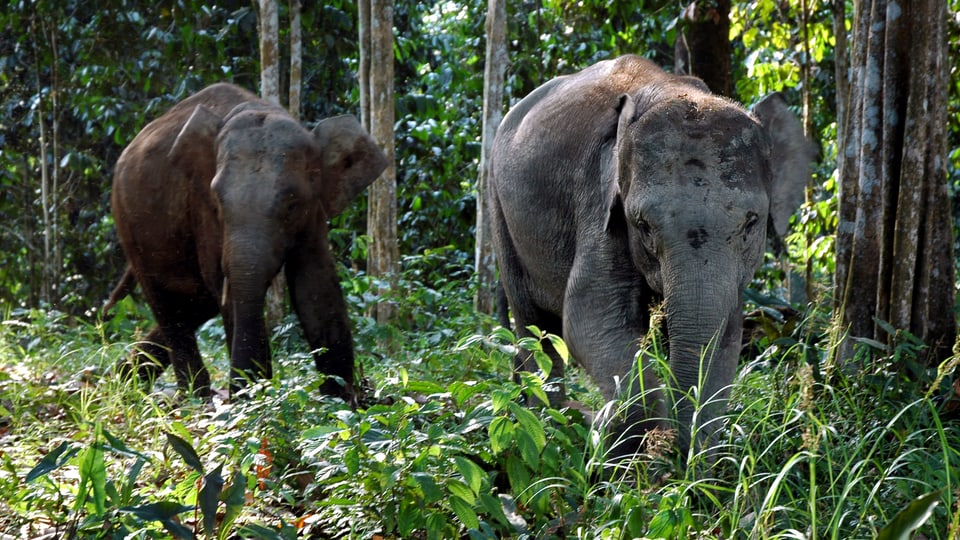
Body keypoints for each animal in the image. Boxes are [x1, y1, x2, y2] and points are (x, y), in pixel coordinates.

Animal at [109, 81, 386, 400]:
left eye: (292, 205)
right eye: (218, 201)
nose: (243, 388)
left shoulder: (313, 212)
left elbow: (315, 283)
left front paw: (339, 397)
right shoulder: (201, 207)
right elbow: (224, 284)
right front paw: (253, 398)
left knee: (196, 303)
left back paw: (122, 379)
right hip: (127, 221)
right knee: (168, 303)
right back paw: (190, 395)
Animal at [492, 54, 812, 458]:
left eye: (751, 223)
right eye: (642, 225)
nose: (677, 451)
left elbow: (726, 335)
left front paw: (696, 460)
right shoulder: (599, 204)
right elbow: (588, 320)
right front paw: (634, 439)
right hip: (498, 208)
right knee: (535, 327)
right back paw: (547, 421)